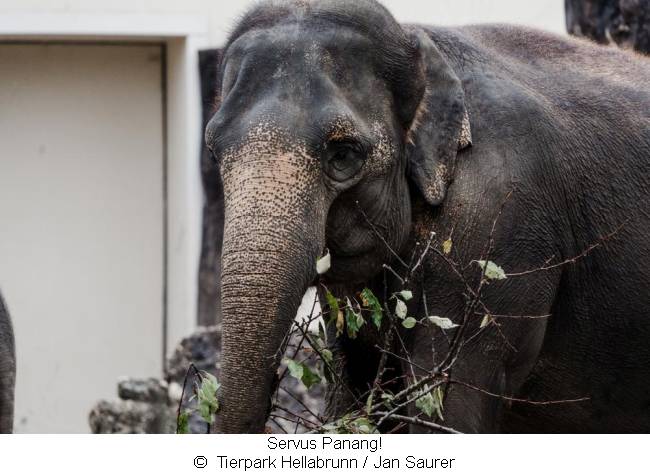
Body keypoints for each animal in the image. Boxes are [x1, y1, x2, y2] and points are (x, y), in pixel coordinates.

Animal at [205, 0, 650, 433]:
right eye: (214, 152)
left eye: (343, 154)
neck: (417, 40)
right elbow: (356, 398)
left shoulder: (494, 223)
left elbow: (447, 409)